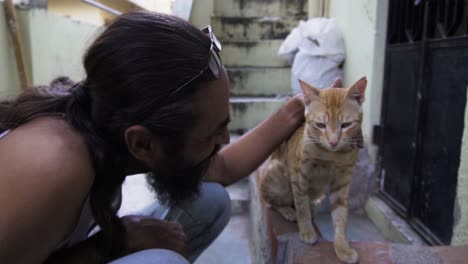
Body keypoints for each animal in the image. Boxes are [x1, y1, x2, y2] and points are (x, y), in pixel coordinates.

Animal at [260, 77, 366, 262]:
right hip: (277, 174)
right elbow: (301, 206)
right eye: (320, 125)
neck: (332, 156)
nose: (333, 142)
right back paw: (288, 211)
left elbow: (341, 216)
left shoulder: (342, 183)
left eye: (346, 125)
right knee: (272, 202)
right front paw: (307, 231)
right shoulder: (299, 176)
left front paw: (342, 247)